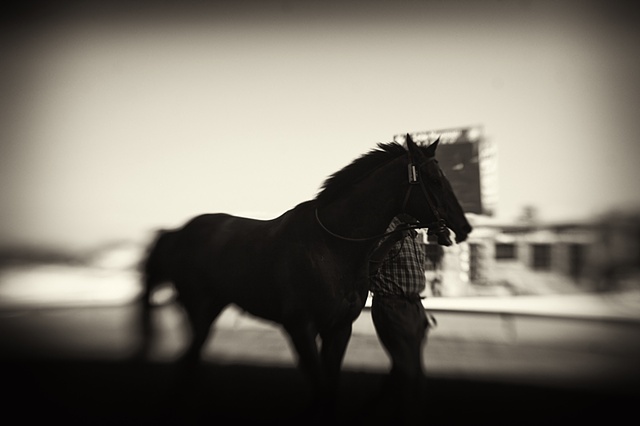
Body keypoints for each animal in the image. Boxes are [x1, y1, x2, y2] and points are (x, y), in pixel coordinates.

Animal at [139, 134, 472, 415]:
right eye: (434, 180)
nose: (464, 226)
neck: (331, 247)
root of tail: (177, 232)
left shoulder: (339, 328)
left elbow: (330, 387)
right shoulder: (300, 327)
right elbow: (321, 388)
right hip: (199, 308)